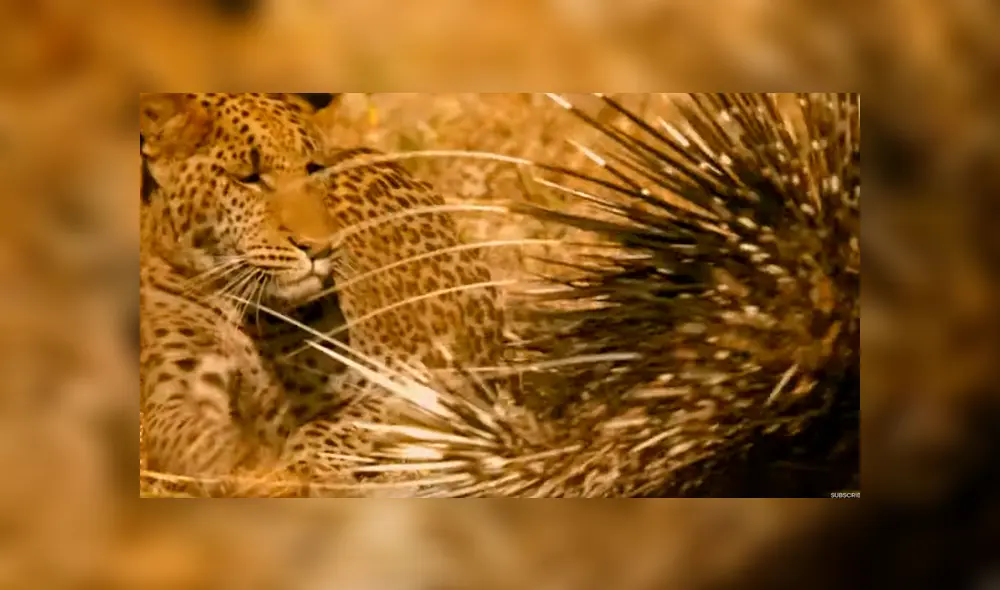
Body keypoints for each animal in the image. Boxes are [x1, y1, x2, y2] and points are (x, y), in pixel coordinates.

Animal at [139, 92, 506, 487]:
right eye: (249, 179)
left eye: (313, 169)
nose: (320, 248)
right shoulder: (176, 388)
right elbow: (190, 437)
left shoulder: (397, 388)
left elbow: (330, 430)